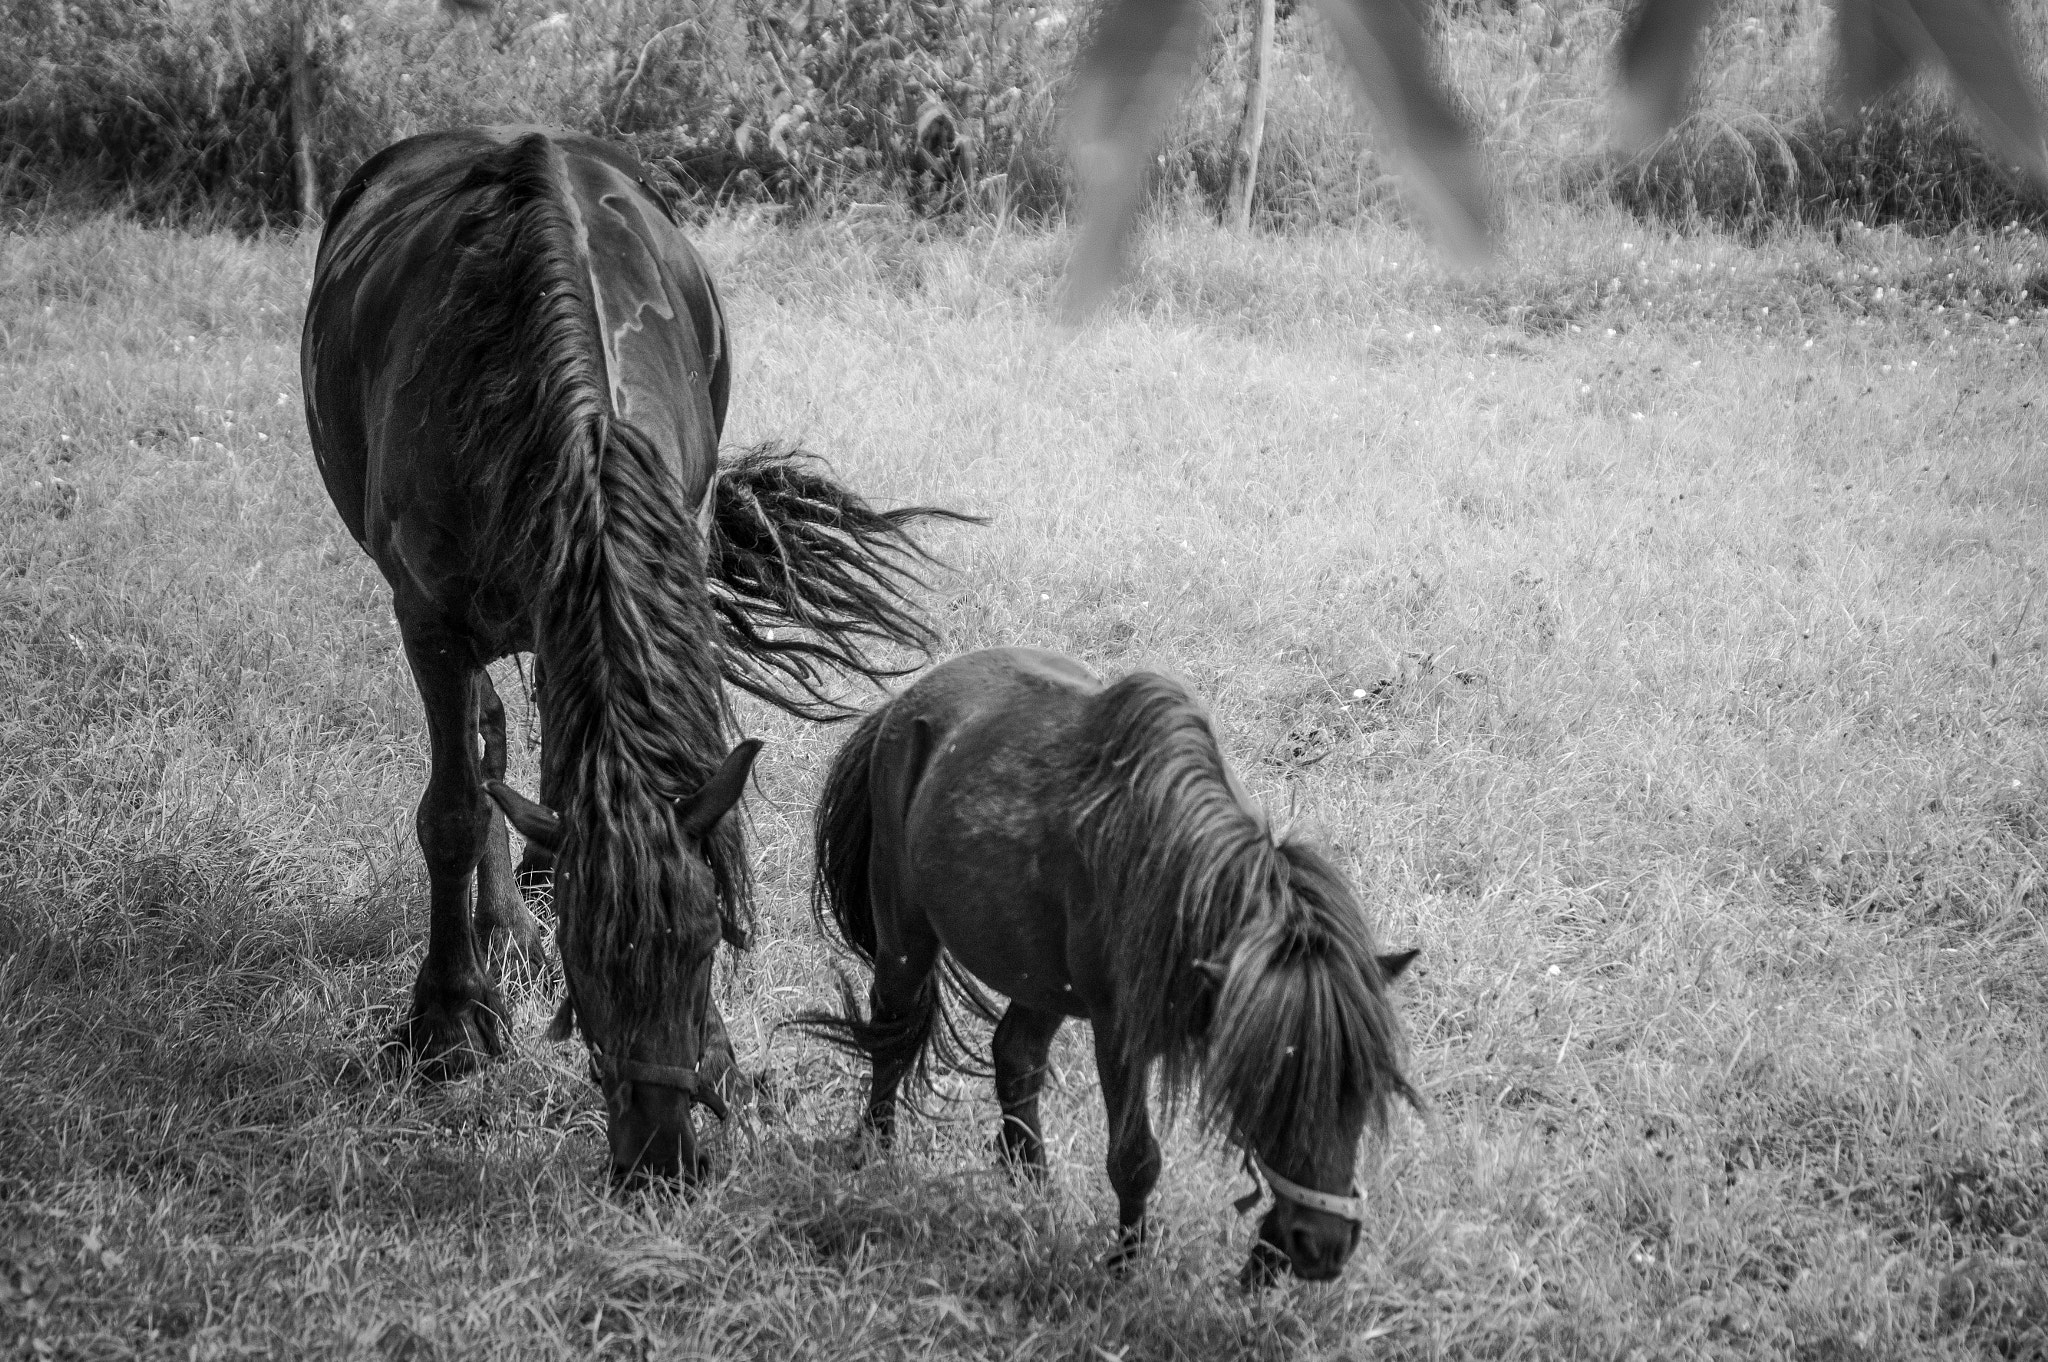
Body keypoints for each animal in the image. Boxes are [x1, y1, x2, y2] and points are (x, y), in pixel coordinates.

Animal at [299, 130, 970, 1187]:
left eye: (705, 943)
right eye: (588, 960)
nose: (661, 1158)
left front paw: (724, 1055)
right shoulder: (428, 618)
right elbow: (452, 810)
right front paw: (448, 1019)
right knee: (483, 744)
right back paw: (498, 927)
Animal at [802, 647, 1425, 1286]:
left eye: (1363, 1090)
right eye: (1269, 1086)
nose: (1322, 1246)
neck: (1171, 872)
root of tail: (903, 703)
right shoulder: (1119, 1032)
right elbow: (1135, 1158)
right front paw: (1124, 1269)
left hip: (1040, 979)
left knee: (1014, 1057)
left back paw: (1033, 1191)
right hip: (905, 937)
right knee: (892, 1036)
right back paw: (874, 1155)